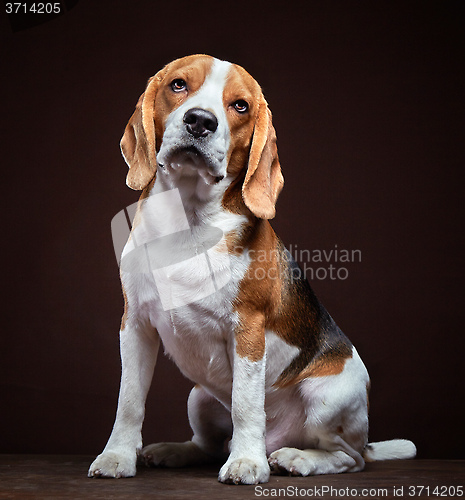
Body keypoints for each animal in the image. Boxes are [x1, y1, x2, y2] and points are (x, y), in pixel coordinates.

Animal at [87, 54, 414, 484]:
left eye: (240, 106)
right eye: (178, 85)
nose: (200, 121)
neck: (188, 220)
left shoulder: (248, 330)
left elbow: (245, 404)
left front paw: (246, 462)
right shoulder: (135, 324)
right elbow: (129, 400)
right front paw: (117, 456)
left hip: (328, 396)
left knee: (348, 458)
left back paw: (296, 458)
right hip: (199, 396)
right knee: (209, 446)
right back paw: (176, 450)